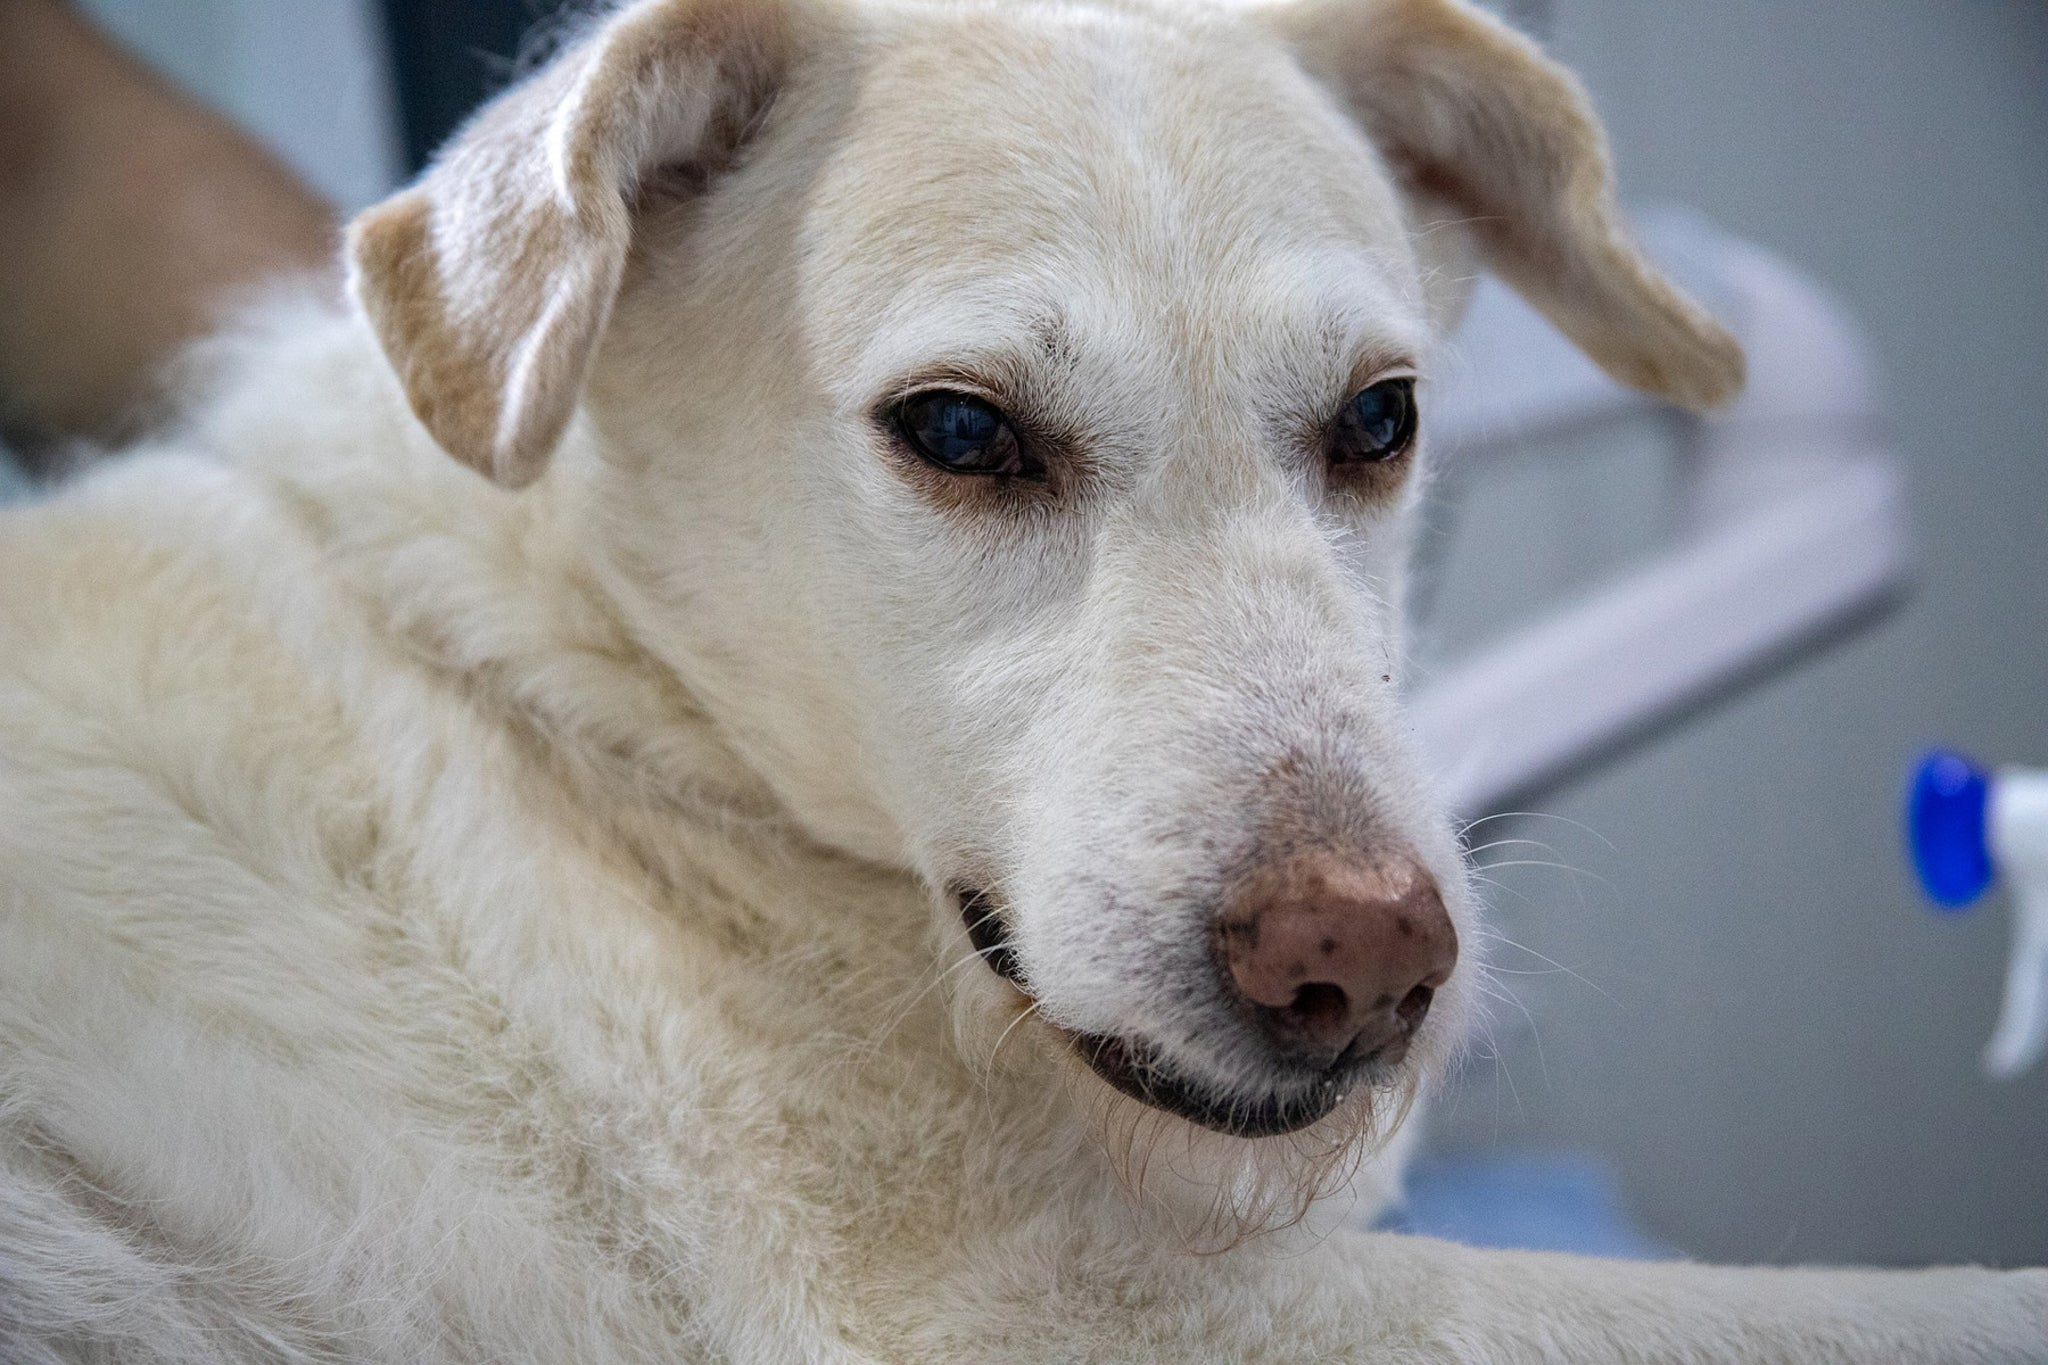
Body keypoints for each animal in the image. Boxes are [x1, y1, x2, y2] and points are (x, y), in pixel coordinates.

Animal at [4, 0, 2048, 1358]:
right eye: (962, 430)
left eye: (1381, 419)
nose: (1366, 963)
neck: (595, 709)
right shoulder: (1035, 1316)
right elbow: (1892, 1308)